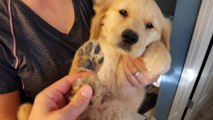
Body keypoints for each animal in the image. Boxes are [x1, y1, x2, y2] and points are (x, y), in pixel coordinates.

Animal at [18, 0, 171, 120]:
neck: (118, 56)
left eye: (150, 26)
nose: (130, 36)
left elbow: (160, 44)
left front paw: (159, 58)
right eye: (123, 12)